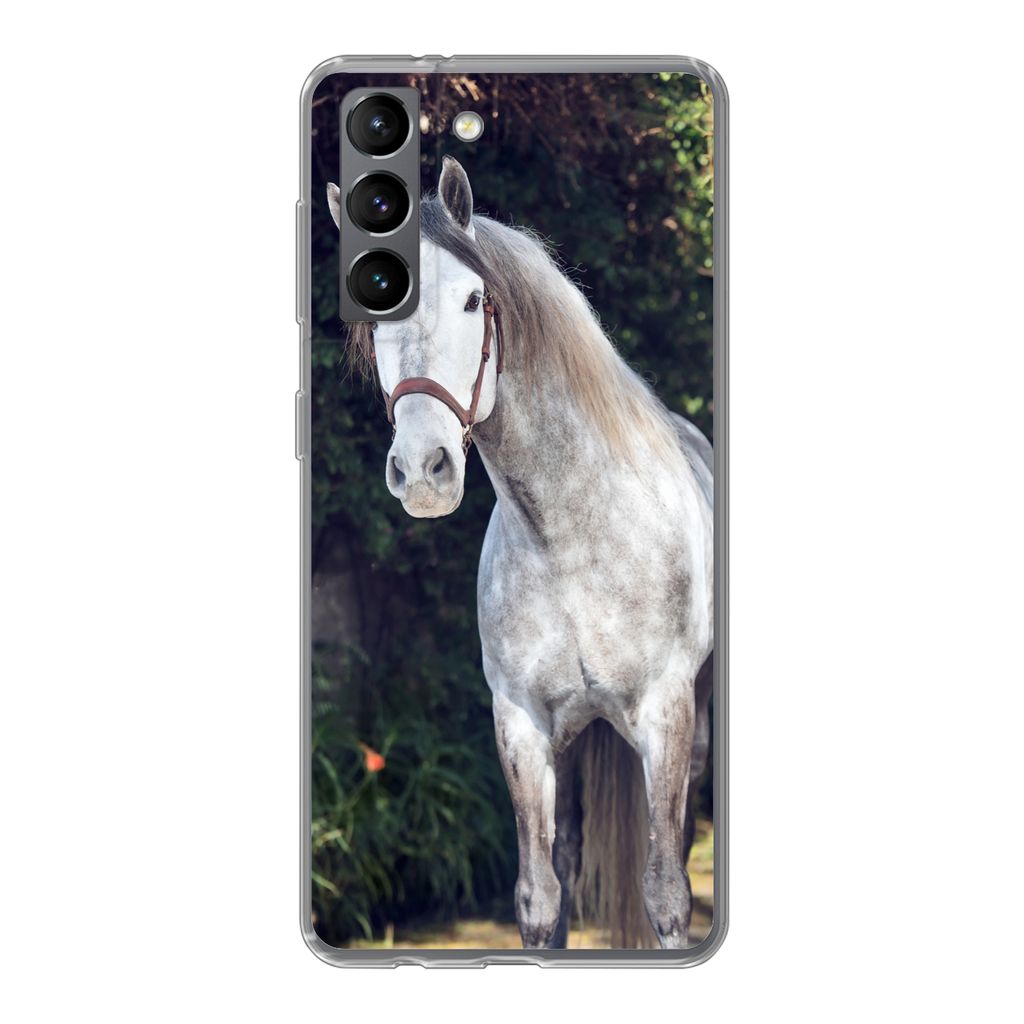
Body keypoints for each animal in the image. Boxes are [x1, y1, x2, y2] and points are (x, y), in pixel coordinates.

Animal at [327, 157, 714, 949]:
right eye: (375, 315)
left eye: (474, 298)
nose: (423, 471)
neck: (572, 540)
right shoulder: (521, 725)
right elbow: (539, 897)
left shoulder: (667, 715)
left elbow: (666, 893)